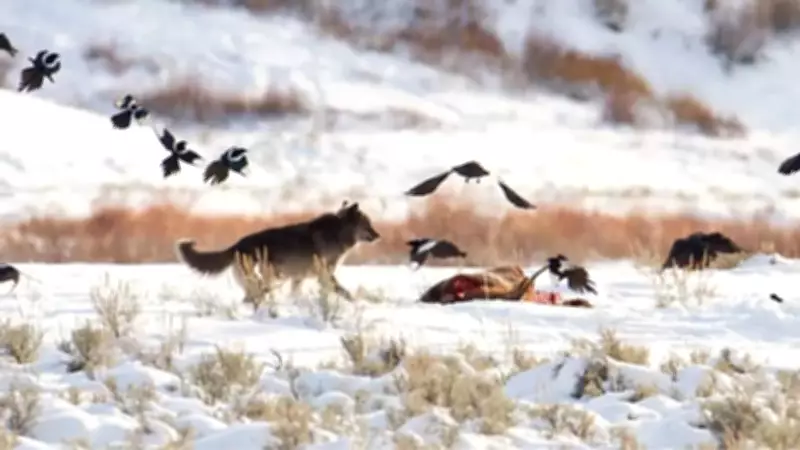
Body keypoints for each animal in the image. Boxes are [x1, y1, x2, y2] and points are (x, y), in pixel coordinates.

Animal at [175, 201, 381, 303]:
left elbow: (296, 295)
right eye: (368, 225)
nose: (379, 236)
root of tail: (236, 245)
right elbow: (344, 292)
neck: (338, 232)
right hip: (263, 280)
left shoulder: (299, 278)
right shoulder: (324, 275)